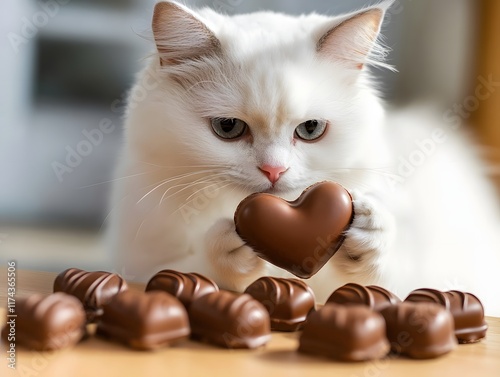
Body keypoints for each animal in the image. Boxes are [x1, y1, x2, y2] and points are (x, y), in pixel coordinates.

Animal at [108, 0, 500, 314]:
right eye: (228, 127)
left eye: (310, 129)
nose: (274, 170)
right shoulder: (142, 264)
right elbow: (192, 269)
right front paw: (230, 249)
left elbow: (386, 276)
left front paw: (371, 231)